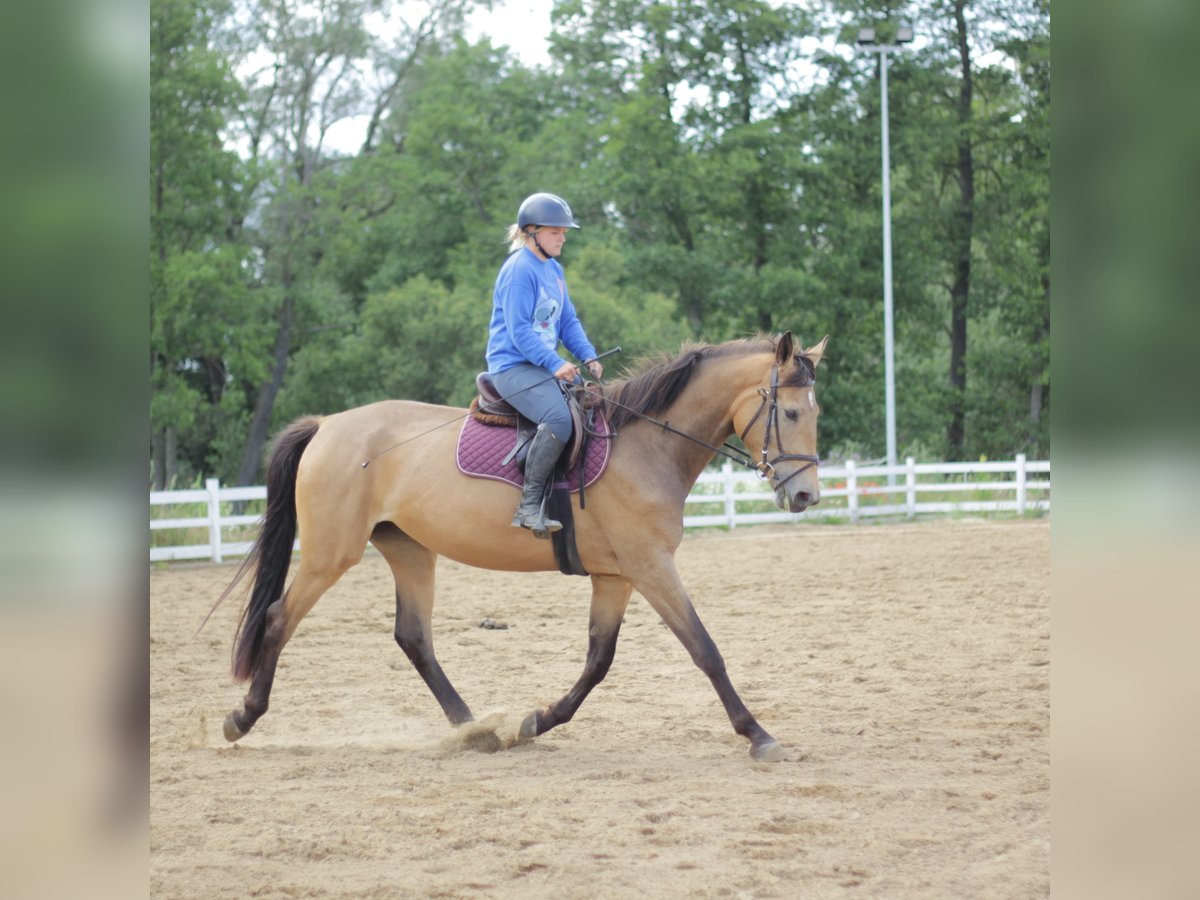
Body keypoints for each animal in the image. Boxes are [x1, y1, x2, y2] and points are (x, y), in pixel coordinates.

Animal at [220, 331, 830, 763]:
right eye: (791, 412)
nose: (805, 495)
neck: (646, 445)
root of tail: (327, 425)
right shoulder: (651, 568)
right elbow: (705, 650)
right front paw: (758, 734)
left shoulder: (617, 577)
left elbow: (598, 661)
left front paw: (537, 721)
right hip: (332, 555)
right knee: (278, 619)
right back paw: (243, 717)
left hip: (410, 550)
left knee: (413, 637)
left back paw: (473, 730)